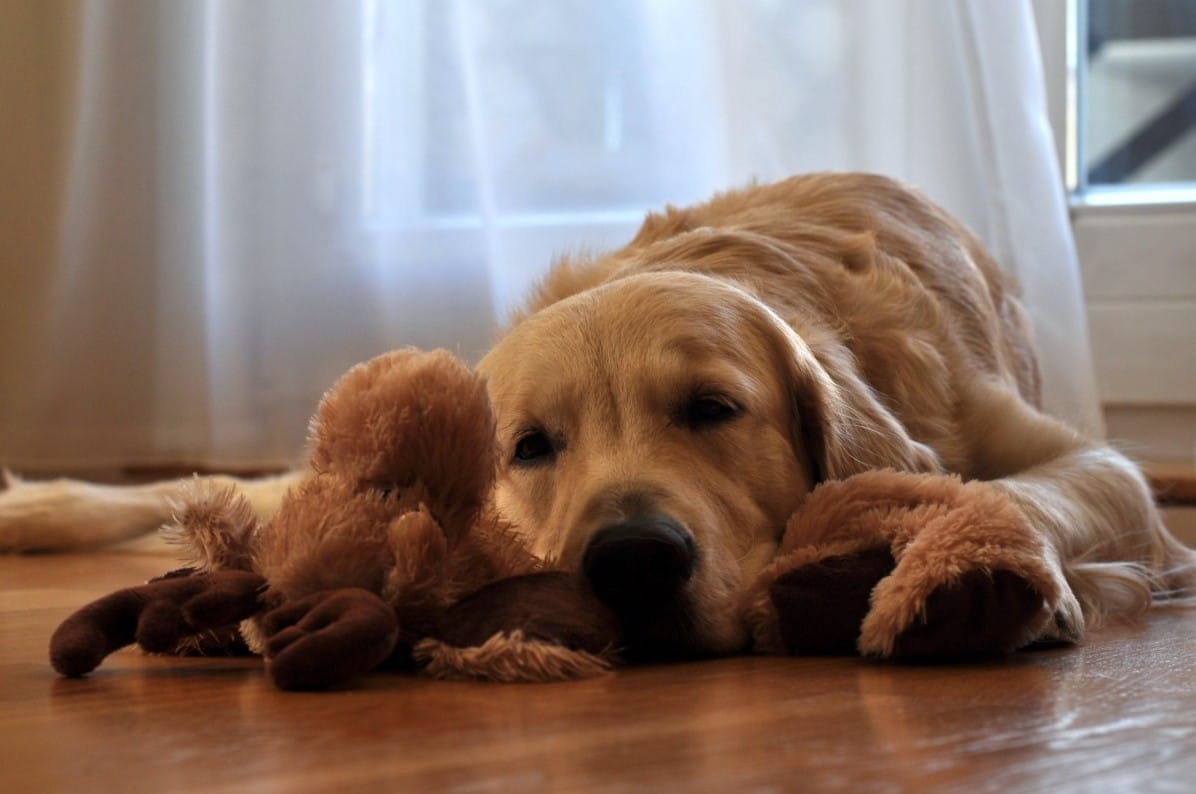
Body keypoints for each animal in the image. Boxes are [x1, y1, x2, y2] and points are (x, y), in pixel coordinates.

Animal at [2, 175, 1196, 664]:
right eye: (530, 445)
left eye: (713, 409)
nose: (629, 560)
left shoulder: (1083, 461)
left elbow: (1028, 488)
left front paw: (981, 575)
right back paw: (38, 506)